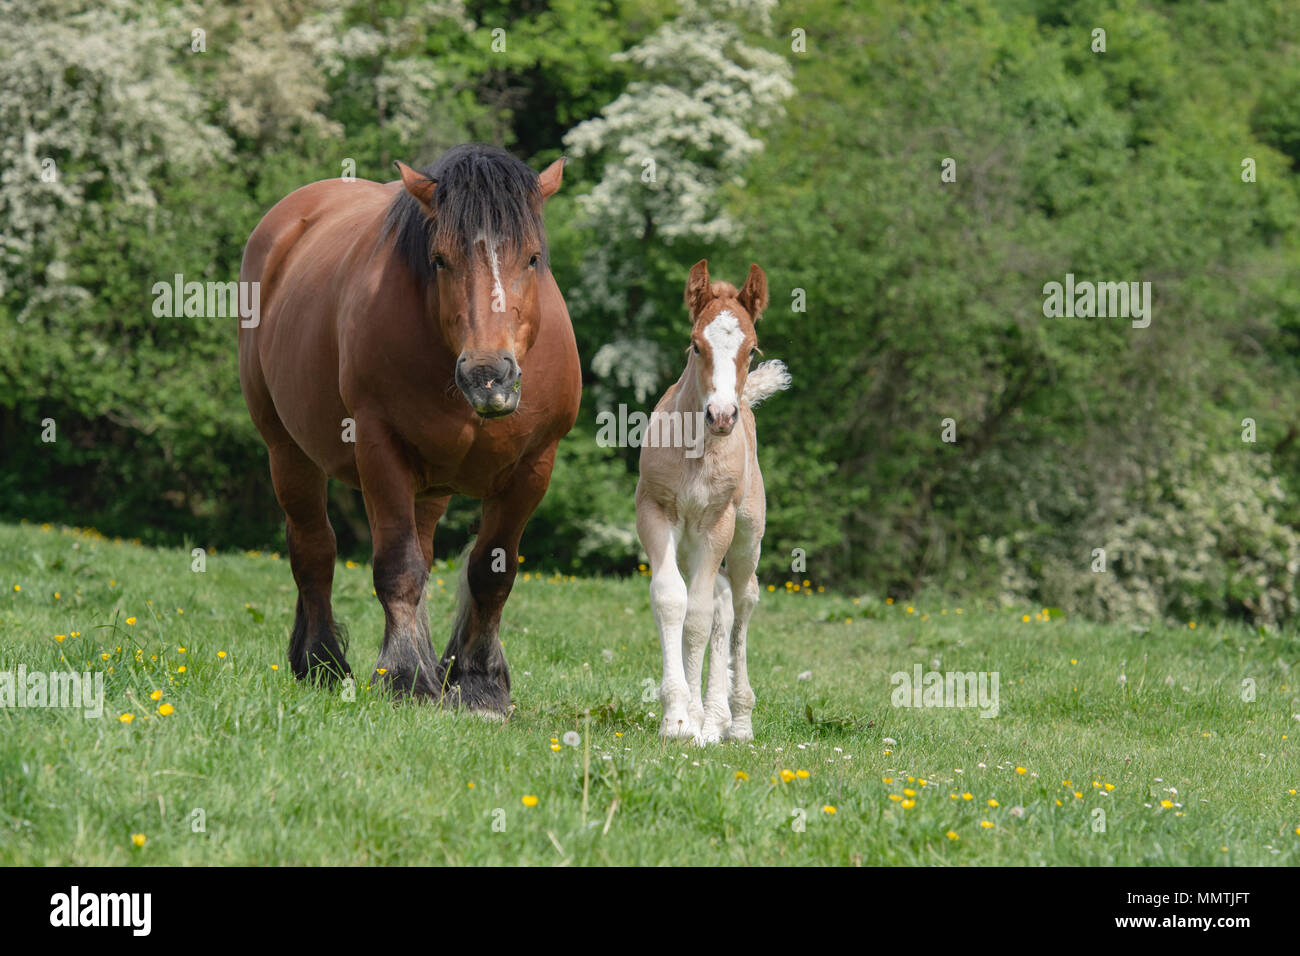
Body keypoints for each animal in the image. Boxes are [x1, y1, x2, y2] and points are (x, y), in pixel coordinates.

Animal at [237, 140, 579, 712]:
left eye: (532, 258)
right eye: (439, 259)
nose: (489, 376)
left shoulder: (534, 465)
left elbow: (491, 573)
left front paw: (477, 683)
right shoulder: (379, 448)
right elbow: (397, 567)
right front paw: (403, 677)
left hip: (429, 486)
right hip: (286, 451)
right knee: (314, 550)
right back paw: (323, 663)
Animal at [634, 261, 785, 749]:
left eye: (752, 349)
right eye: (695, 345)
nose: (721, 416)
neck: (697, 452)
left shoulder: (717, 524)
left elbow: (698, 616)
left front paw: (693, 723)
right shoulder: (655, 514)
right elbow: (672, 600)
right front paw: (680, 718)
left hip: (744, 539)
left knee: (741, 601)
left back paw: (736, 720)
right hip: (691, 543)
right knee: (720, 601)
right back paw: (715, 718)